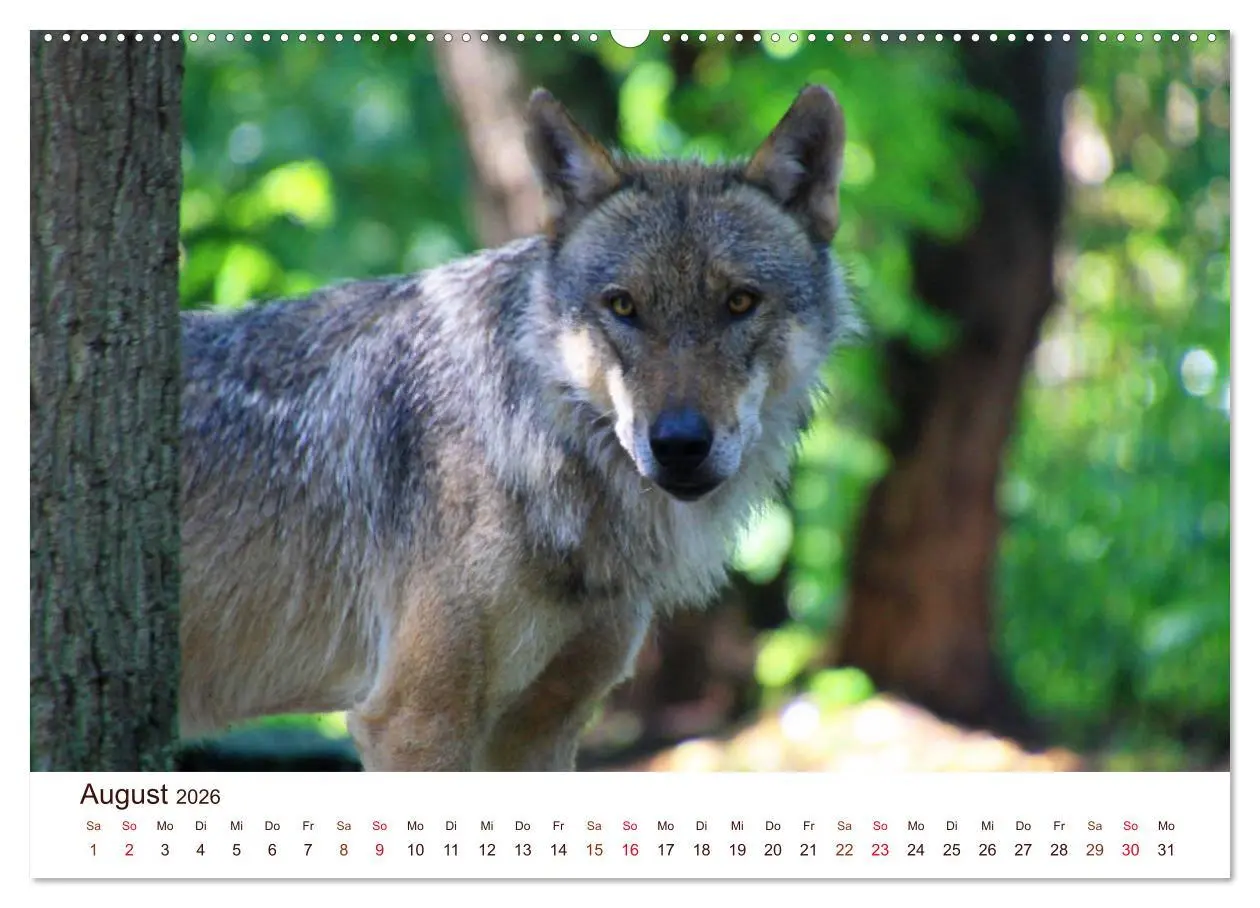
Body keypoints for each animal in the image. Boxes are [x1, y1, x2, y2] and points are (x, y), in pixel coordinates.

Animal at [179, 84, 859, 770]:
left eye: (740, 302)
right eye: (623, 306)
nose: (679, 445)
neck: (533, 446)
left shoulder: (542, 725)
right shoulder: (414, 721)